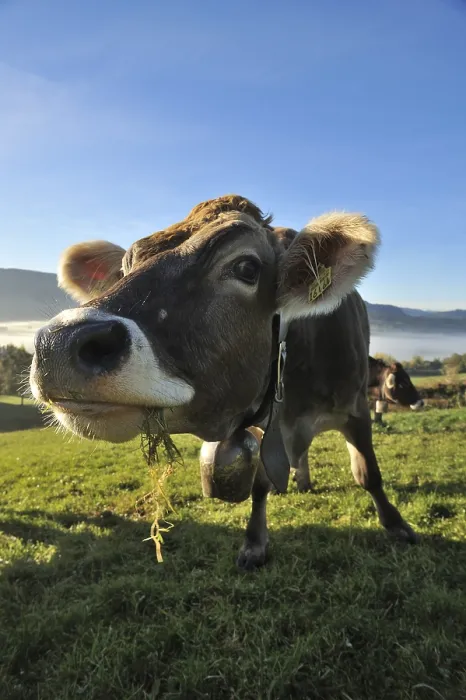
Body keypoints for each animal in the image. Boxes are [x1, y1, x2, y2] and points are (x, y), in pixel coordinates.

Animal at [29, 195, 418, 570]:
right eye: (124, 269)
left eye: (246, 268)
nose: (59, 344)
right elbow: (261, 484)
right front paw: (255, 544)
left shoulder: (356, 406)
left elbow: (368, 472)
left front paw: (396, 525)